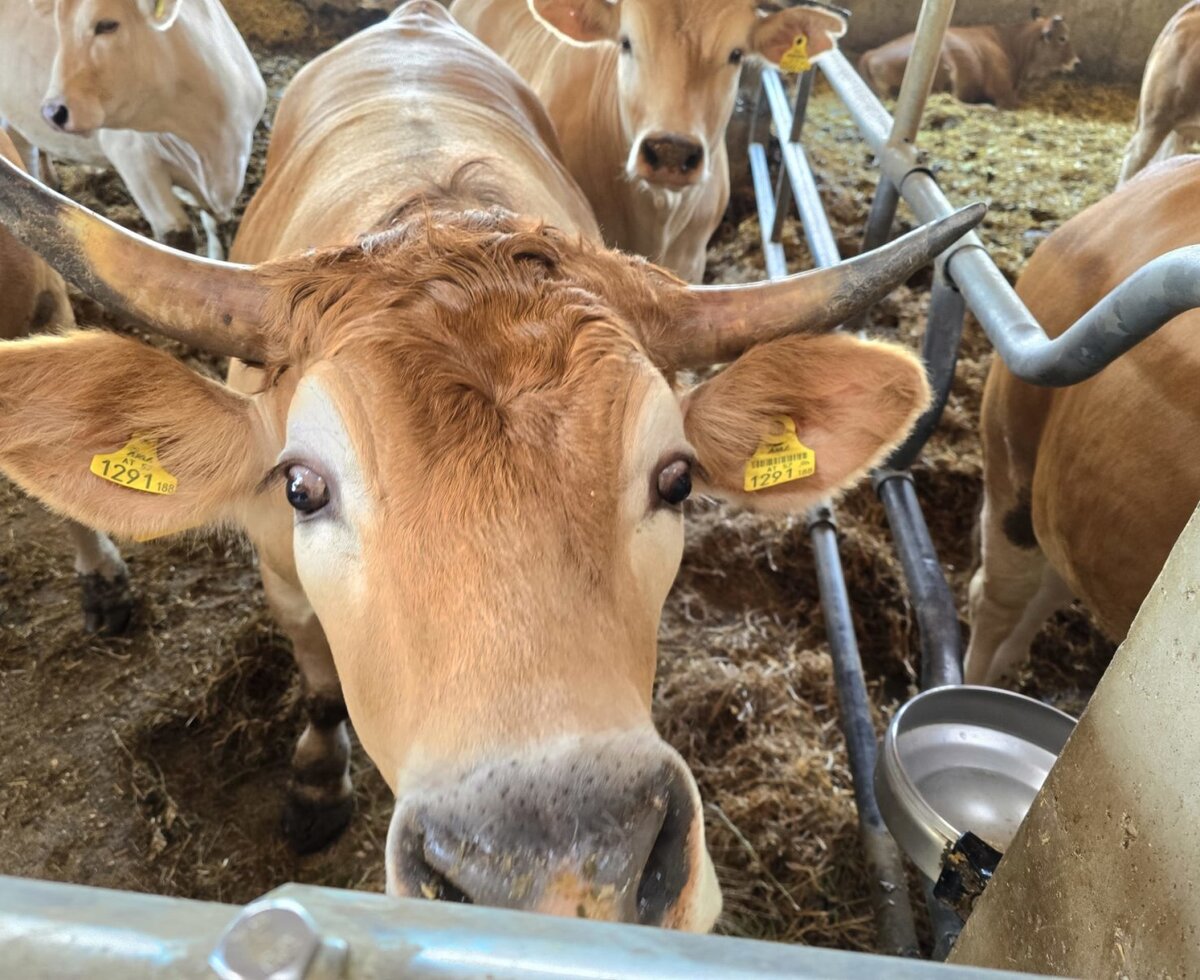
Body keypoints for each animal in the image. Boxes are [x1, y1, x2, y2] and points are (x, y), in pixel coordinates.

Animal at [0, 0, 267, 254]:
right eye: (60, 27)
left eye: (107, 25)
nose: (52, 111)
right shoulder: (134, 158)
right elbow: (176, 238)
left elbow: (217, 228)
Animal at [858, 9, 1079, 109]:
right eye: (1062, 38)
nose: (1076, 62)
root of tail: (871, 54)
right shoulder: (1003, 91)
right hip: (949, 69)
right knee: (954, 101)